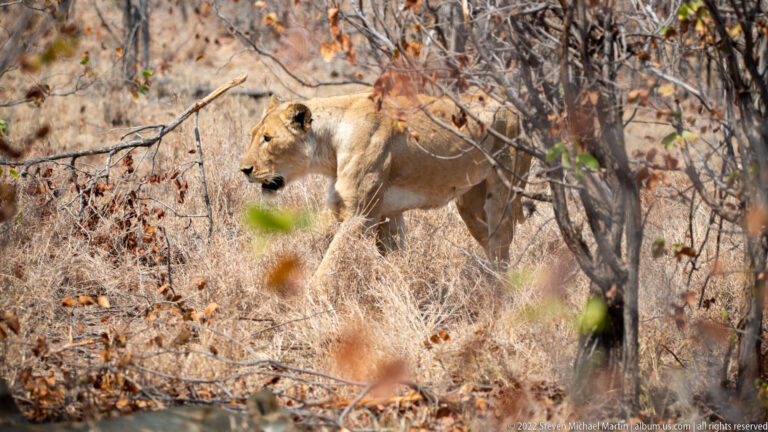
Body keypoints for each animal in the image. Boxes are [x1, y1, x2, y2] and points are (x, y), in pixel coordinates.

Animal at [239, 91, 532, 283]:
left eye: (268, 138)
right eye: (253, 135)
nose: (244, 169)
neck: (330, 145)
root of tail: (515, 109)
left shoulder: (358, 213)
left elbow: (327, 266)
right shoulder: (386, 214)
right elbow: (394, 258)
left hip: (501, 192)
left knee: (501, 244)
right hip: (470, 203)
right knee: (491, 245)